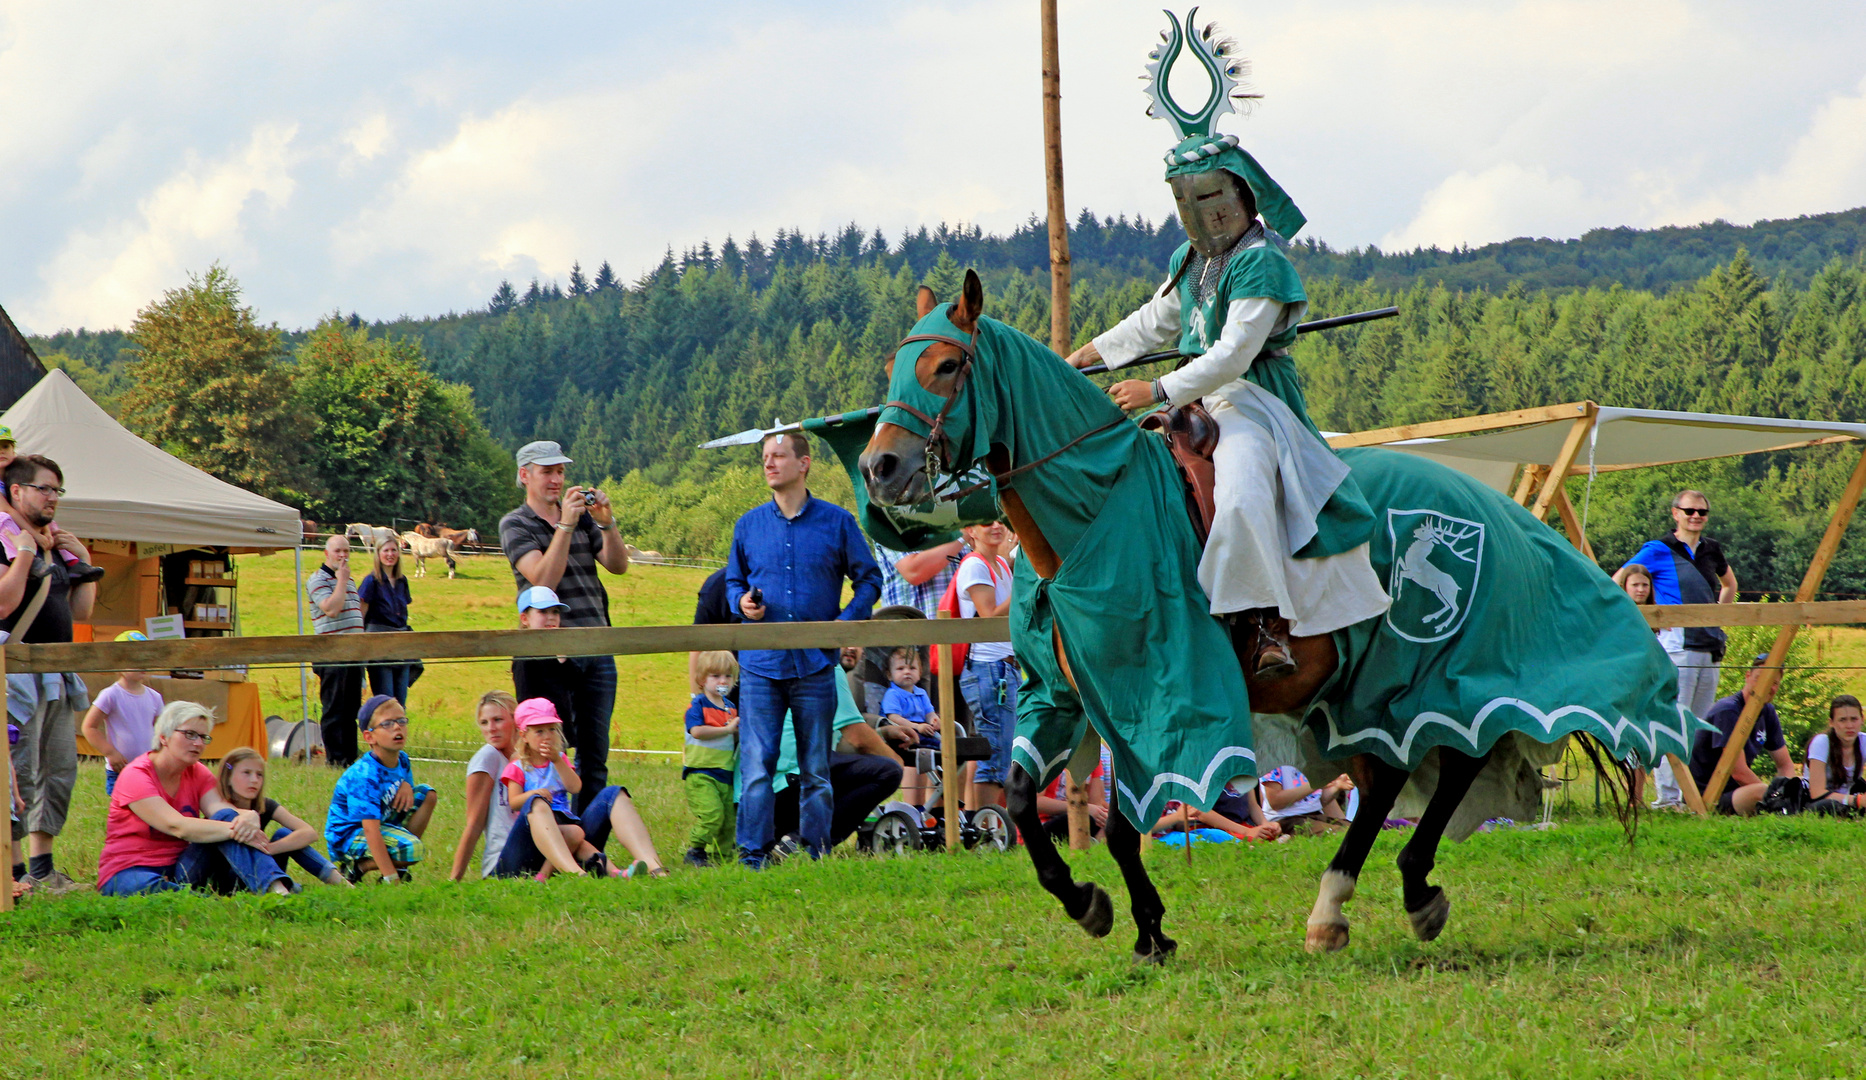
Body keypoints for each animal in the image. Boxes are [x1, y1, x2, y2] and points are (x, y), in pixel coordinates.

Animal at [854, 274, 1686, 962]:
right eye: (898, 365)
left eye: (948, 366)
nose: (878, 468)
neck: (1095, 512)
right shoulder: (1067, 698)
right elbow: (1029, 802)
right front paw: (1097, 907)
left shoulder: (1160, 694)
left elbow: (1122, 822)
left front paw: (1145, 926)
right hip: (1354, 689)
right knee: (1391, 777)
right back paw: (1341, 909)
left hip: (1422, 667)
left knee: (1451, 757)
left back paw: (1404, 892)